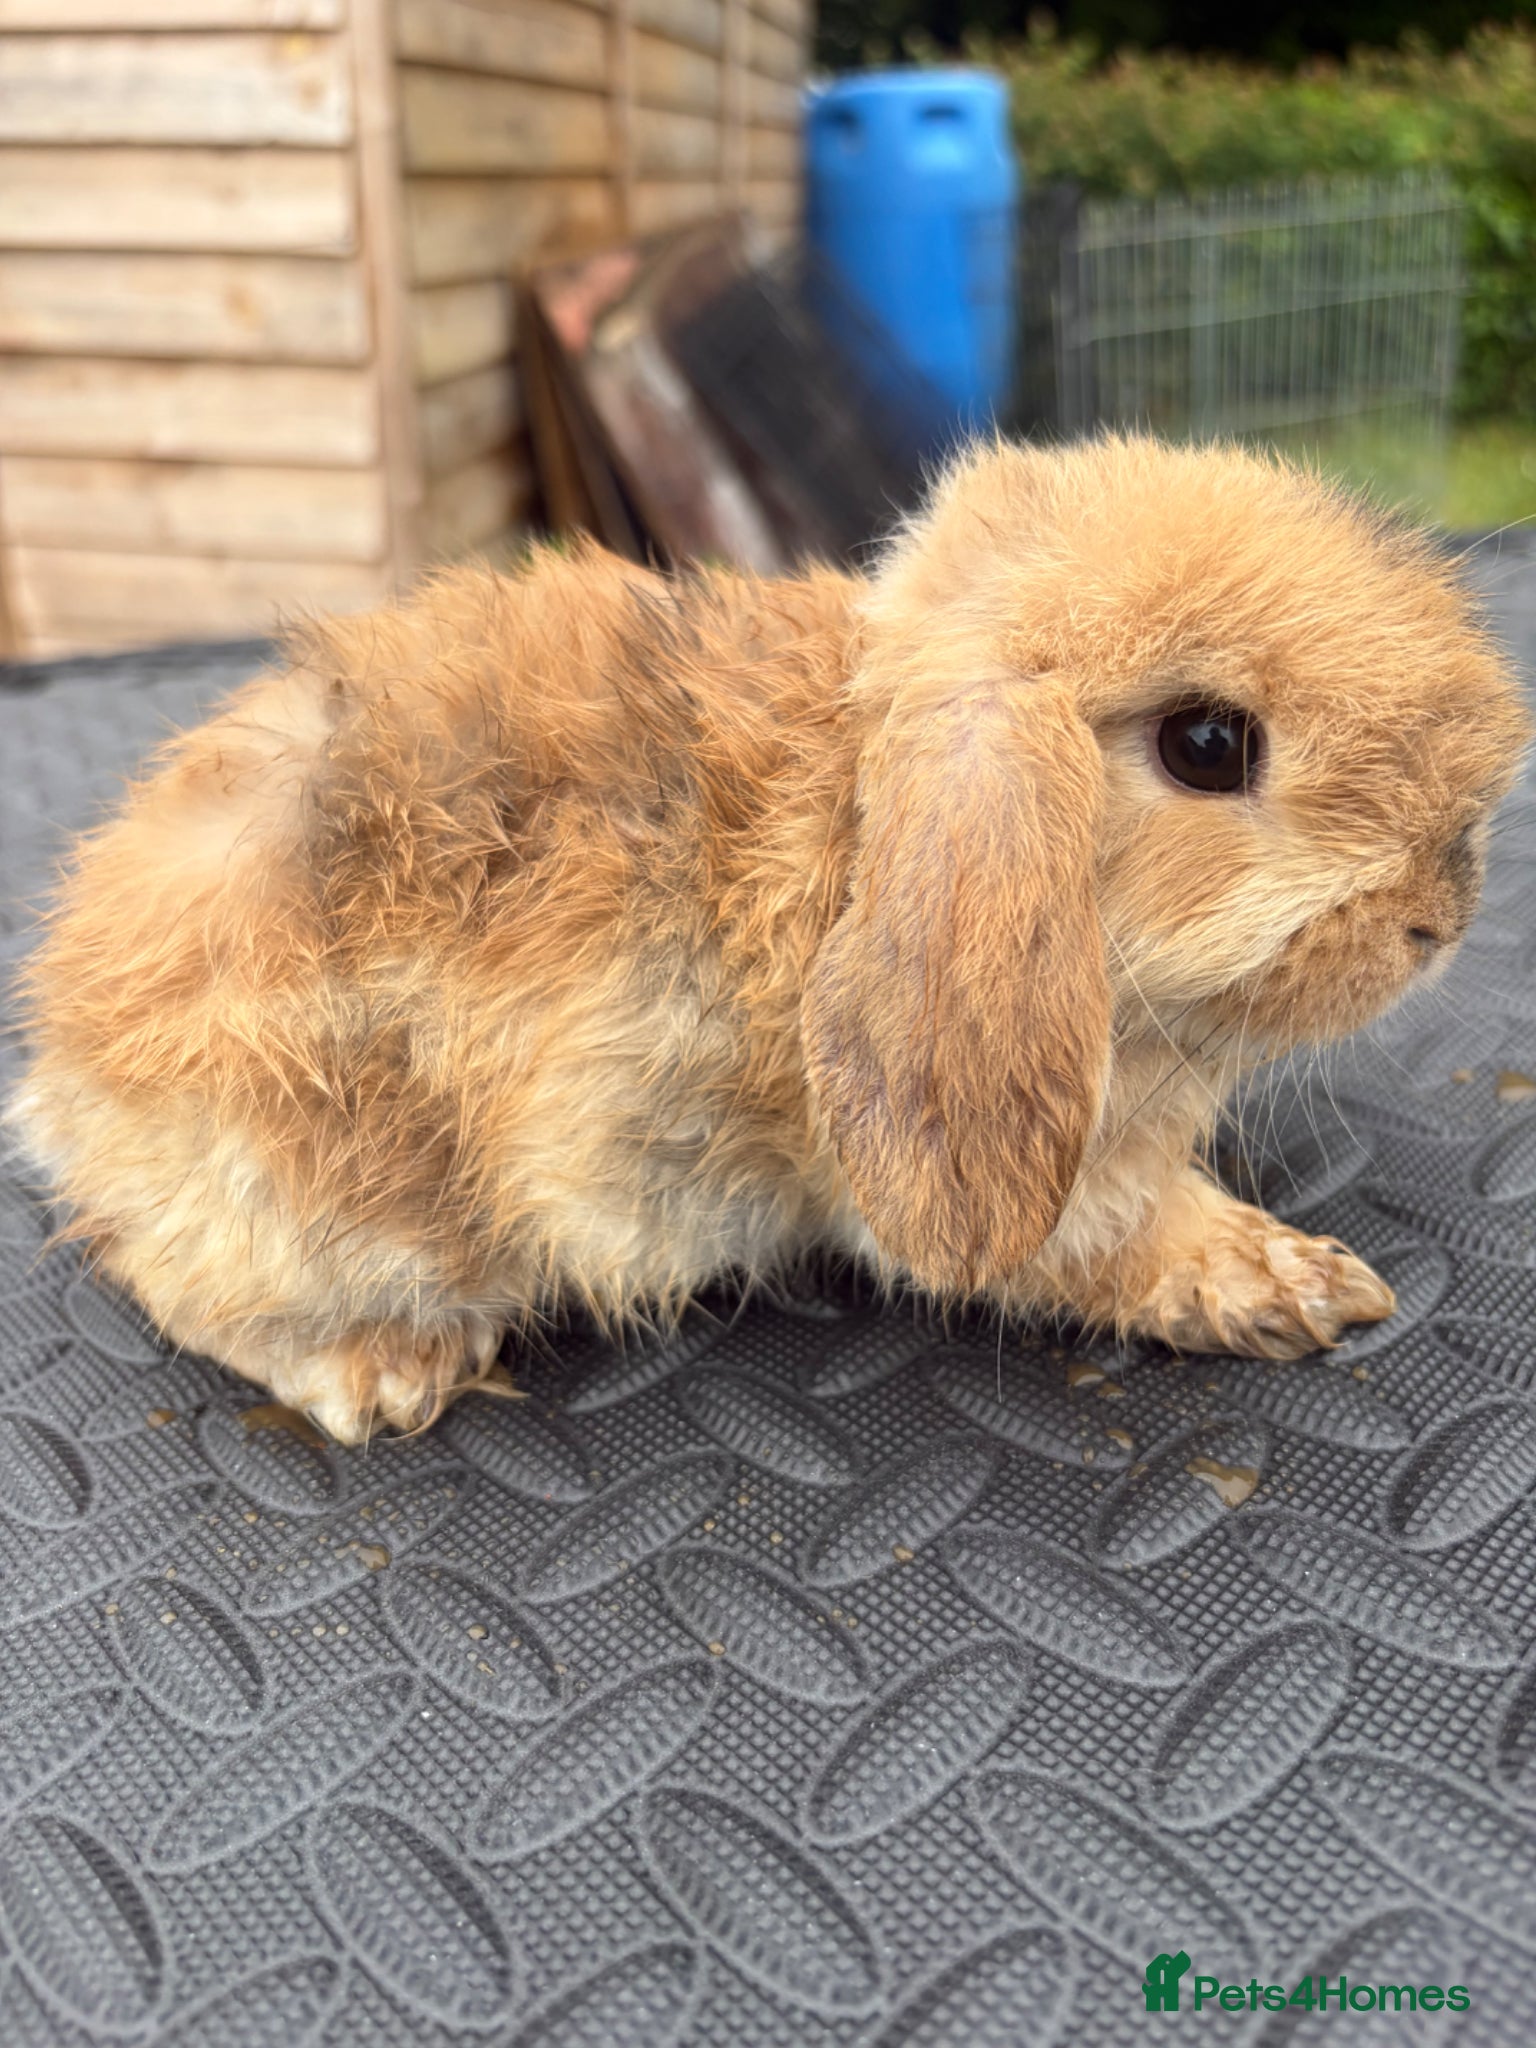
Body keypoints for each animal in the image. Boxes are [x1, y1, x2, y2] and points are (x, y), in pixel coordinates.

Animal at [8, 435, 1528, 1442]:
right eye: (1209, 744)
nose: (1440, 910)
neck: (860, 803)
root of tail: (64, 1076)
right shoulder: (1030, 1191)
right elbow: (1122, 1247)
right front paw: (1292, 1285)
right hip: (327, 1197)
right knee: (182, 1282)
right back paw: (391, 1375)